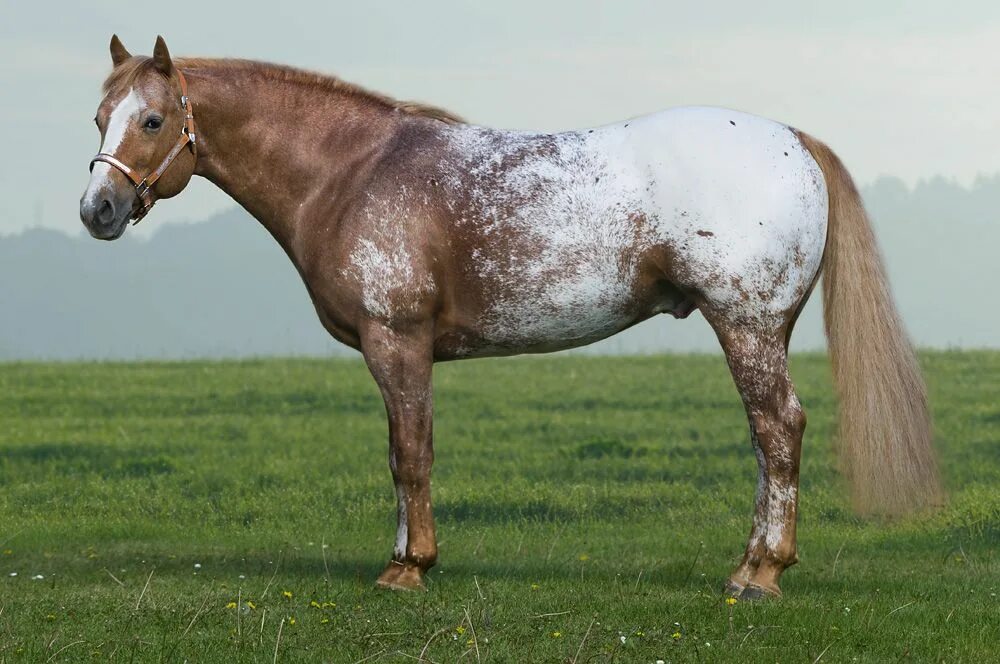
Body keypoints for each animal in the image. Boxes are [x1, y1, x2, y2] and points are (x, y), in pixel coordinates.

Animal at [82, 33, 940, 600]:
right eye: (99, 118)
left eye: (152, 120)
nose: (98, 209)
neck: (354, 171)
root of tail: (794, 140)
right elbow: (399, 456)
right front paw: (407, 554)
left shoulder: (397, 341)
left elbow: (410, 456)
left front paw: (409, 568)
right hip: (763, 331)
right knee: (768, 442)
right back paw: (748, 563)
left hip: (748, 326)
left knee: (779, 430)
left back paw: (762, 574)